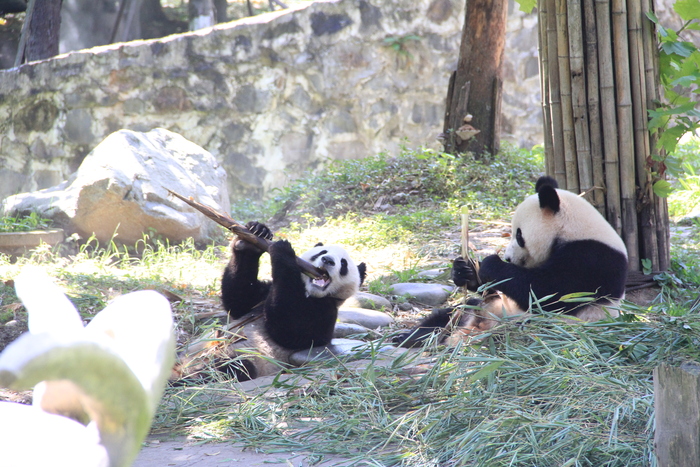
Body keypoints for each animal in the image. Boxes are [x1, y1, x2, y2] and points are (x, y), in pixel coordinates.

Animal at [174, 222, 366, 380]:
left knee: (232, 368)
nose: (327, 260)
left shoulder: (326, 310)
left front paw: (284, 252)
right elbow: (239, 300)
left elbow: (292, 332)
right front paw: (255, 235)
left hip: (248, 358)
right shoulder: (263, 294)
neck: (308, 291)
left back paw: (192, 377)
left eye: (343, 264)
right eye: (322, 252)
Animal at [396, 176, 632, 348]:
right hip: (489, 307)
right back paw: (410, 337)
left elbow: (547, 293)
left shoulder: (591, 259)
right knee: (455, 312)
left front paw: (492, 264)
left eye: (519, 235)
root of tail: (480, 325)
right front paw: (465, 271)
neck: (573, 229)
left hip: (541, 327)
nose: (508, 257)